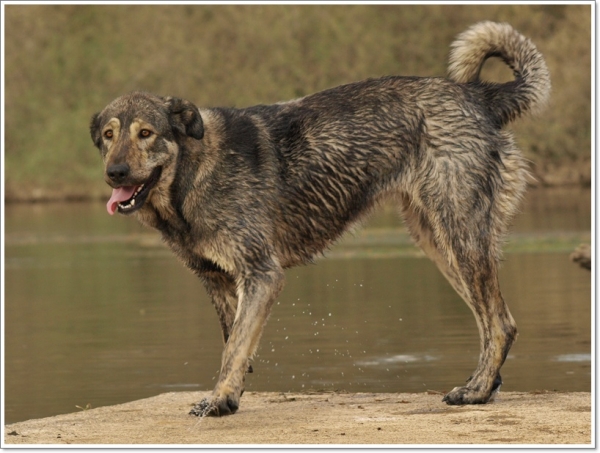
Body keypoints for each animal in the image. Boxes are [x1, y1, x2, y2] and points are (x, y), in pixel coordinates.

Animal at [88, 22, 548, 416]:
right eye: (109, 136)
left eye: (146, 133)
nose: (115, 173)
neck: (193, 171)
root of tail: (480, 96)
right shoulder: (217, 281)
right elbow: (233, 342)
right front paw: (230, 395)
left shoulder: (261, 274)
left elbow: (234, 347)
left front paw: (218, 400)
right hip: (439, 243)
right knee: (490, 322)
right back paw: (484, 385)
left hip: (460, 235)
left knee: (501, 324)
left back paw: (477, 390)